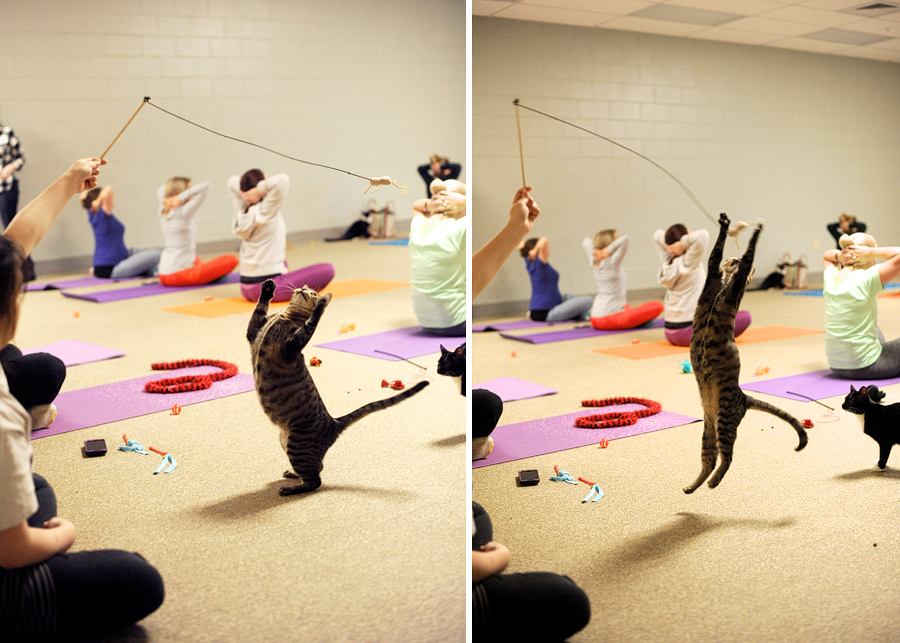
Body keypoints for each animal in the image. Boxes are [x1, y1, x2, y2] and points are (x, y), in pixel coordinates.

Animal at [246, 280, 428, 496]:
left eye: (313, 292)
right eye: (304, 288)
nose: (303, 289)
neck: (285, 316)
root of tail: (334, 422)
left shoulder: (292, 345)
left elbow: (311, 323)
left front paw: (321, 304)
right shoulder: (254, 332)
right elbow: (259, 308)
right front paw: (268, 287)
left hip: (296, 447)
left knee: (315, 480)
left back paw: (289, 489)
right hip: (285, 441)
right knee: (317, 468)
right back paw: (292, 474)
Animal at [684, 211, 808, 494]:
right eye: (734, 259)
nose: (736, 259)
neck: (723, 286)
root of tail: (744, 396)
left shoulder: (729, 282)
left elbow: (733, 250)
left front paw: (750, 229)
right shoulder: (713, 279)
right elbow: (717, 254)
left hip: (724, 421)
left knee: (728, 458)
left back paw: (713, 483)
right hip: (709, 429)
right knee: (711, 460)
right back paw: (693, 486)